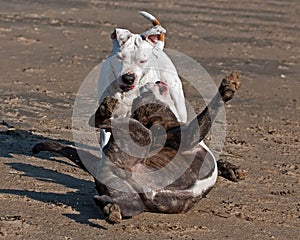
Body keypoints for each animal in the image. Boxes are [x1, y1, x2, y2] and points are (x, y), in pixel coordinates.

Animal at [32, 71, 245, 223]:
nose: (149, 84)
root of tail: (107, 164)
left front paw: (233, 170)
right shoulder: (188, 136)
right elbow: (209, 112)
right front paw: (226, 89)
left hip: (131, 200)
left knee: (122, 204)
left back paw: (109, 209)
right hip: (142, 137)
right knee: (99, 122)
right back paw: (104, 112)